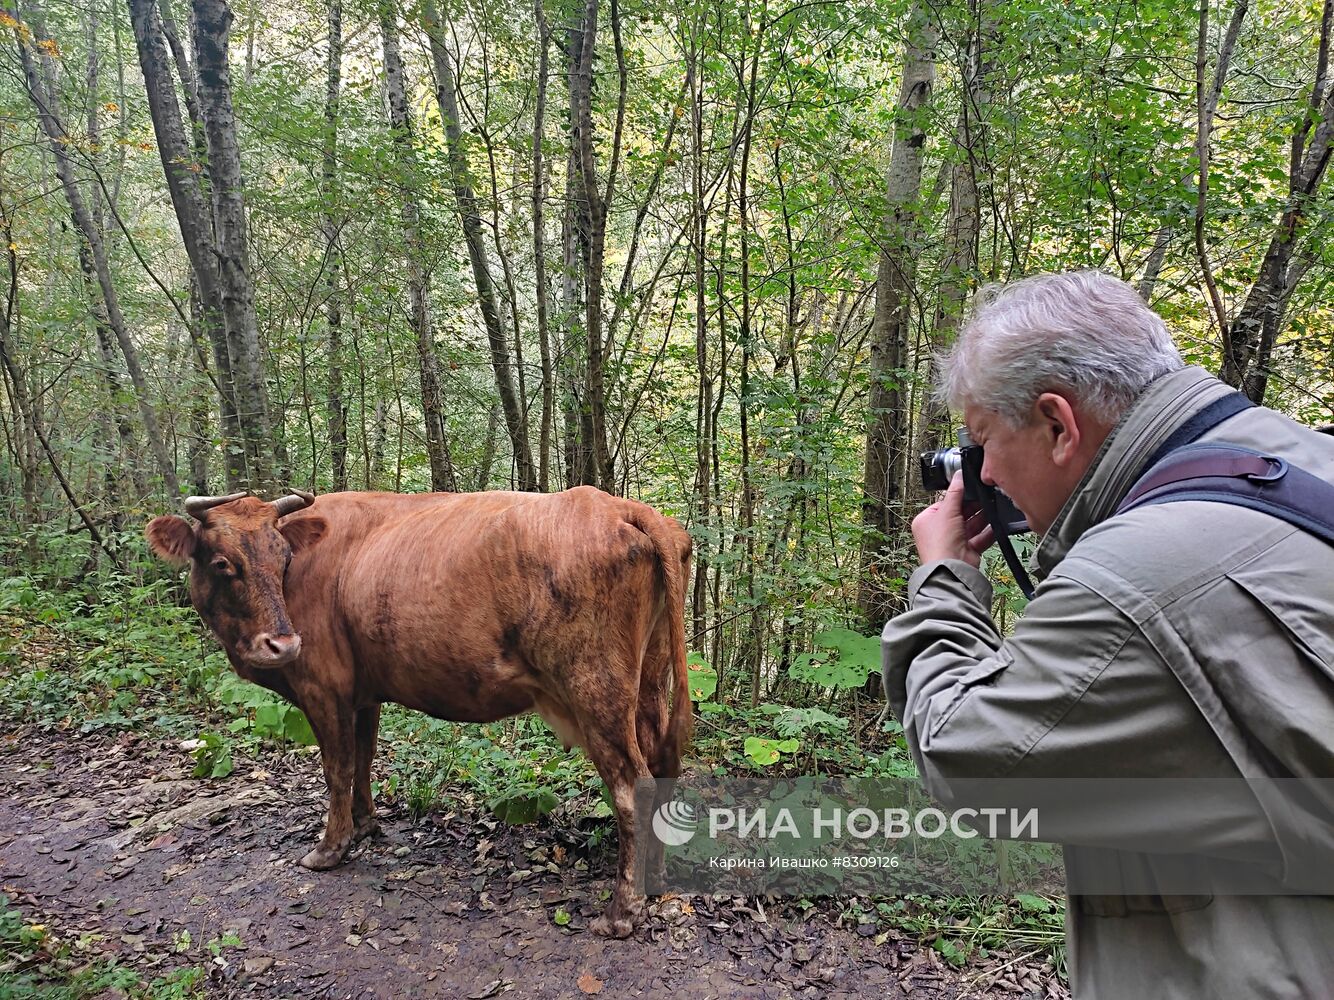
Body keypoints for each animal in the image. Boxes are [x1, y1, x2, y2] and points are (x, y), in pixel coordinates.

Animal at [143, 488, 699, 938]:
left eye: (283, 558)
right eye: (222, 562)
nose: (282, 644)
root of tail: (622, 507)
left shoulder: (323, 688)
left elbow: (337, 768)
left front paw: (330, 848)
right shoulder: (363, 694)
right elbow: (363, 760)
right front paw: (365, 826)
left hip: (596, 690)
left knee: (632, 785)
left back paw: (622, 912)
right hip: (648, 679)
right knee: (662, 769)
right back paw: (655, 879)